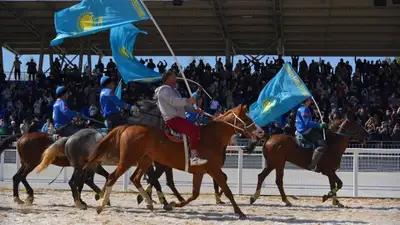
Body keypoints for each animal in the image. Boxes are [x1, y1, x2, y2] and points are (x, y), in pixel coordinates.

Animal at [85, 104, 258, 219]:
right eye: (246, 118)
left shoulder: (200, 172)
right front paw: (240, 212)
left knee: (135, 178)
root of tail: (128, 126)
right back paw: (101, 205)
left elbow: (194, 194)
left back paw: (149, 202)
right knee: (112, 177)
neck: (211, 137)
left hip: (145, 160)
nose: (261, 132)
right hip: (128, 159)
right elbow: (227, 190)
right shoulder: (214, 169)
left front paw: (173, 204)